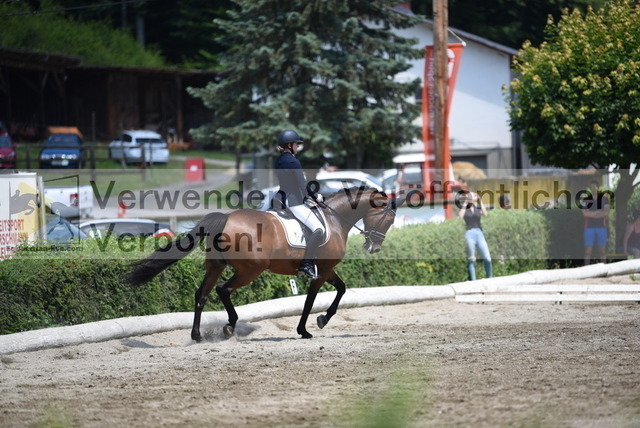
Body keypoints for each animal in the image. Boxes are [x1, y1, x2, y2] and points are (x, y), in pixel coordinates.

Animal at [126, 186, 396, 342]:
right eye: (389, 219)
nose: (374, 247)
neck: (334, 218)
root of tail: (225, 218)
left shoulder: (326, 269)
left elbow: (341, 288)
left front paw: (322, 320)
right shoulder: (321, 271)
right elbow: (311, 300)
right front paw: (307, 328)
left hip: (216, 266)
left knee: (201, 294)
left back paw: (197, 335)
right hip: (250, 270)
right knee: (223, 290)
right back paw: (229, 327)